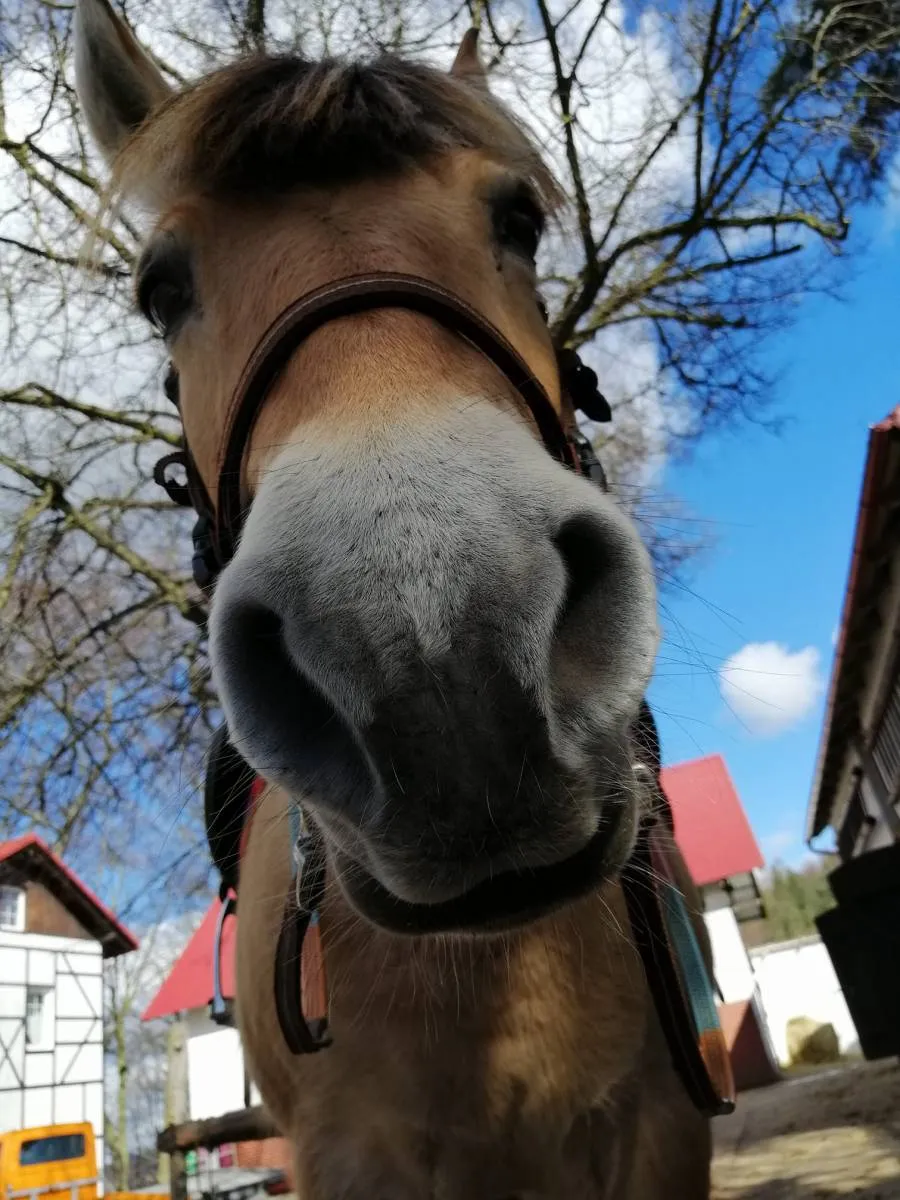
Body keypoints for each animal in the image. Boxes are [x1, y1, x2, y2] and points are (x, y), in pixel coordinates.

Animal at [73, 3, 728, 1195]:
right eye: (159, 290)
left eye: (518, 220)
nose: (440, 663)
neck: (497, 968)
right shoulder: (349, 1154)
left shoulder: (662, 1127)